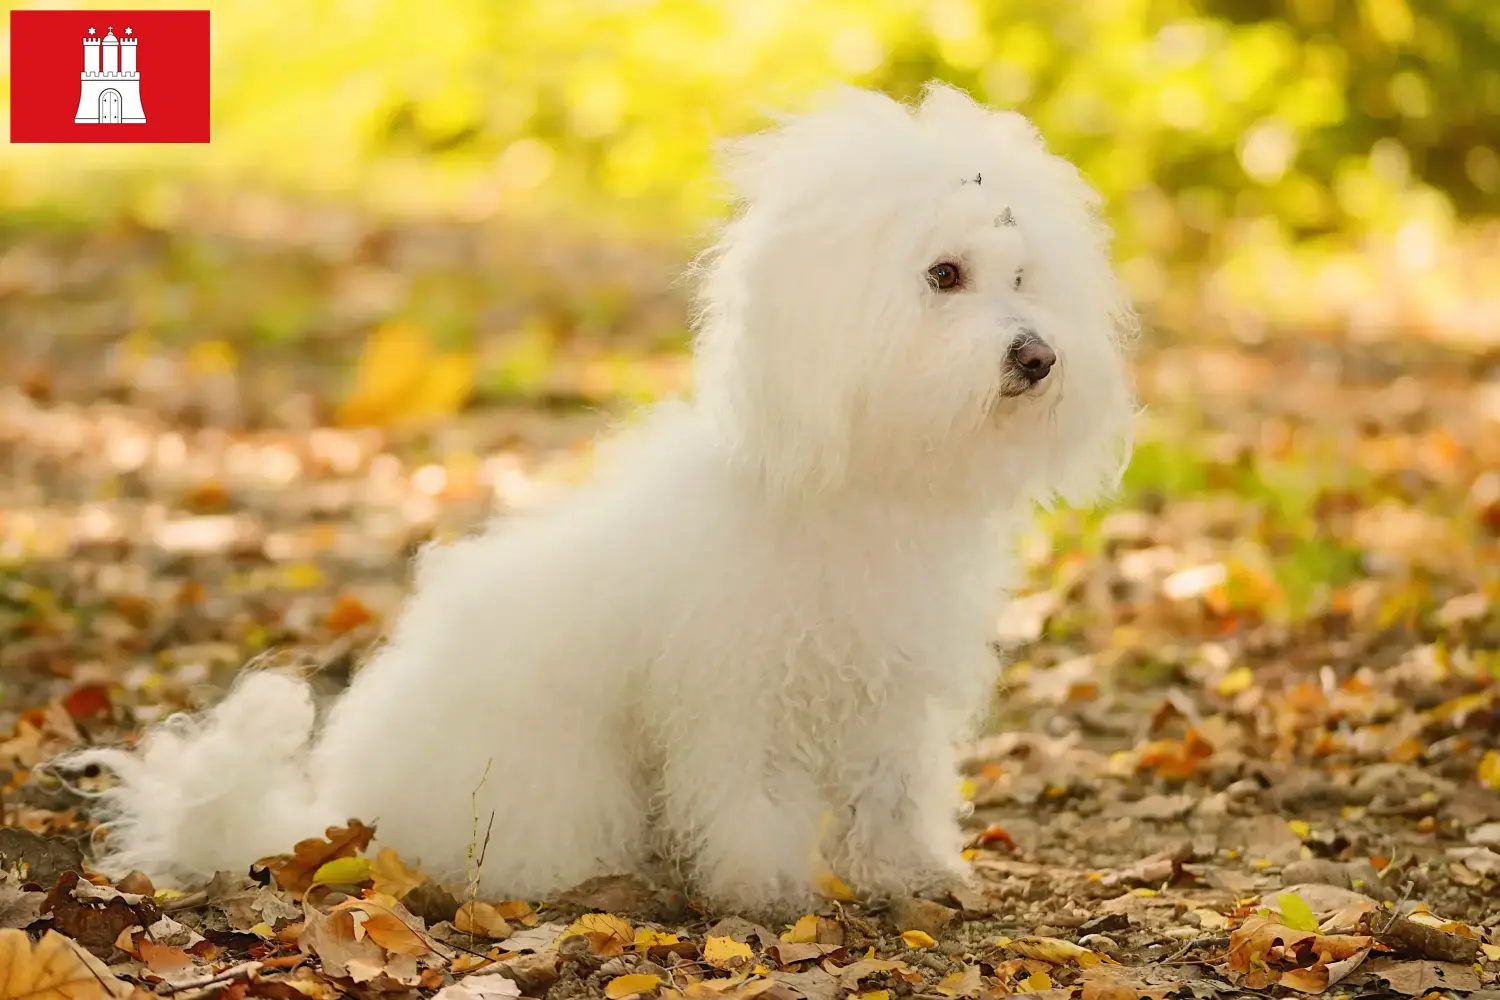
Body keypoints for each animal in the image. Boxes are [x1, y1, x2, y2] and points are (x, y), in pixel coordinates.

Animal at [70, 82, 1128, 917]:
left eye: (1023, 276)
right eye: (944, 276)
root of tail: (338, 814)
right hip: (554, 776)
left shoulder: (889, 693)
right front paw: (765, 891)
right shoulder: (736, 695)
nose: (1038, 356)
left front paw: (910, 875)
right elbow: (751, 800)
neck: (857, 482)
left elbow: (894, 794)